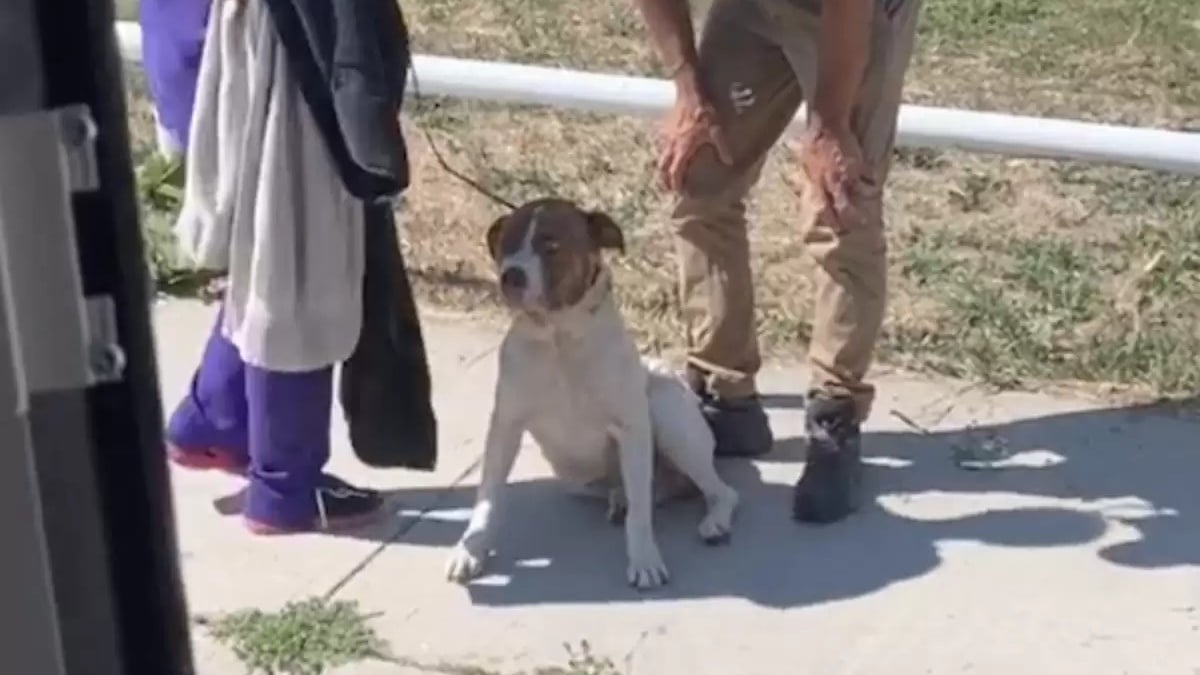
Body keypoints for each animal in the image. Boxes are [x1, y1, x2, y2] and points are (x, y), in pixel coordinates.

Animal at [444, 196, 734, 586]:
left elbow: (640, 516)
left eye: (552, 245)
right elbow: (487, 497)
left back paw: (713, 521)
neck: (559, 336)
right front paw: (470, 548)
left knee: (717, 491)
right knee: (649, 490)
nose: (511, 275)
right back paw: (623, 498)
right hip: (576, 478)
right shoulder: (505, 427)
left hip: (668, 414)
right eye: (506, 244)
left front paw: (644, 559)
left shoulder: (631, 428)